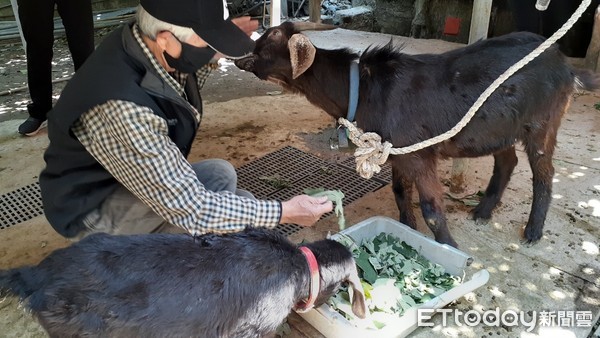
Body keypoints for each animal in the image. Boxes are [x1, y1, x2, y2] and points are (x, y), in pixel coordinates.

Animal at [236, 21, 600, 248]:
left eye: (266, 46)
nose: (239, 60)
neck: (362, 88)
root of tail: (566, 66)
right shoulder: (396, 152)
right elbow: (399, 191)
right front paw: (407, 228)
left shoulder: (419, 154)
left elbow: (432, 210)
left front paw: (450, 248)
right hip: (500, 128)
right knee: (507, 161)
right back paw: (483, 211)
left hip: (542, 124)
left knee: (544, 172)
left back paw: (533, 230)